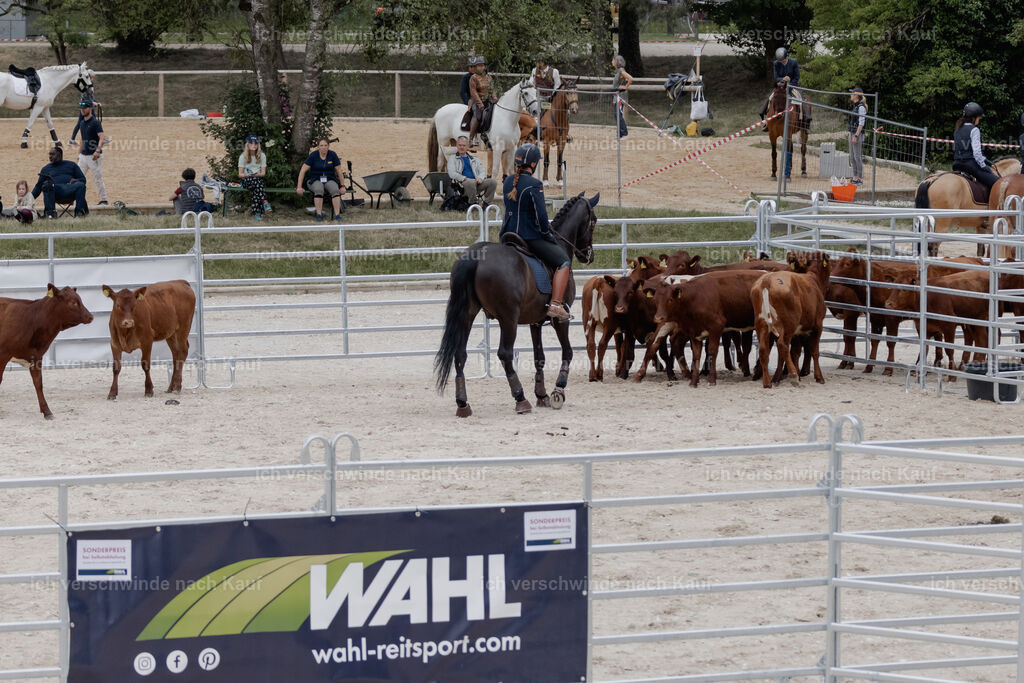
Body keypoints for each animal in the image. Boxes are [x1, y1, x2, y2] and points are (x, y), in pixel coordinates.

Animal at [434, 192, 599, 417]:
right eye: (593, 221)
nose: (589, 255)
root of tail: (477, 256)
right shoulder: (560, 319)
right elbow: (568, 352)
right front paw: (558, 391)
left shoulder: (535, 321)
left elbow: (539, 357)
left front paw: (542, 394)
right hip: (508, 318)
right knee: (505, 354)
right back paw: (520, 398)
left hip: (467, 314)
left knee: (460, 353)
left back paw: (463, 403)